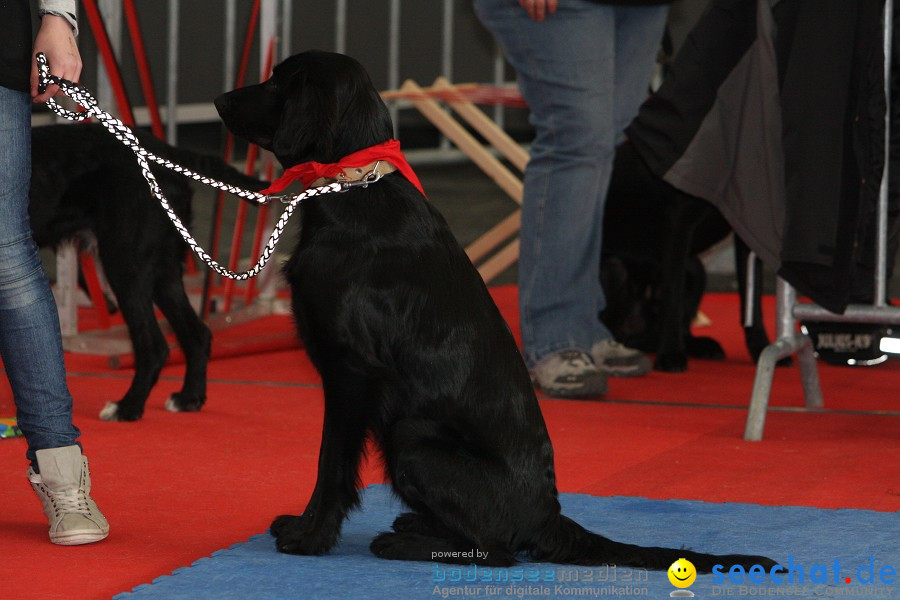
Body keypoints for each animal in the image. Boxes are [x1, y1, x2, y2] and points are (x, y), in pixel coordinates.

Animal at [31, 123, 264, 422]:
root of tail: (166, 153)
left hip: (125, 263)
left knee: (154, 347)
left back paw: (127, 407)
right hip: (161, 269)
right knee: (197, 334)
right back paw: (188, 398)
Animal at [213, 51, 772, 572]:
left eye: (278, 83)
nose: (218, 100)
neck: (353, 188)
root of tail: (548, 518)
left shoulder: (350, 373)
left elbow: (331, 463)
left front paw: (309, 536)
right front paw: (305, 527)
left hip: (411, 437)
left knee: (497, 550)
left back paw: (403, 542)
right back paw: (415, 525)